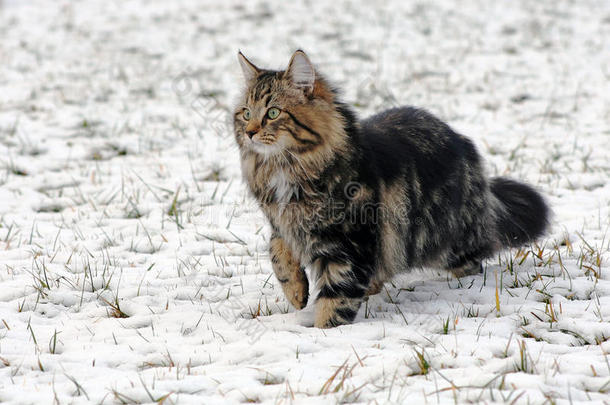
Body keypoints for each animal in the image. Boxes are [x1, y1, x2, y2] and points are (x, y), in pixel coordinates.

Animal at [230, 49, 548, 328]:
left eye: (273, 113)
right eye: (245, 113)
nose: (250, 132)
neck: (286, 170)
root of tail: (463, 141)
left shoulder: (348, 249)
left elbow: (334, 303)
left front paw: (324, 334)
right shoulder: (283, 223)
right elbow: (278, 252)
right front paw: (296, 293)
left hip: (451, 241)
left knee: (473, 259)